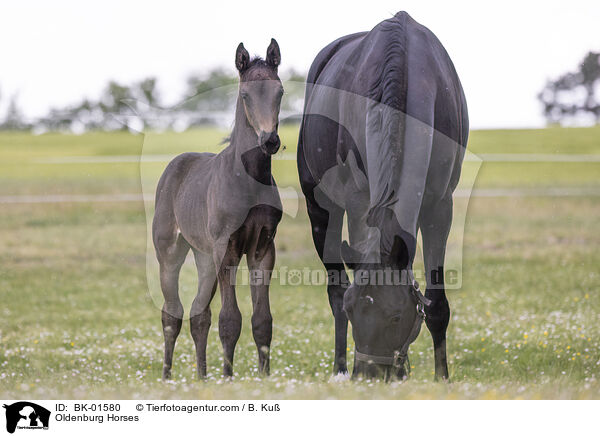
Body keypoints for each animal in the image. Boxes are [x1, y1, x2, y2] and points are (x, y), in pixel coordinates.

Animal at [155, 39, 286, 380]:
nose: (270, 140)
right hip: (170, 252)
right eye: (245, 95)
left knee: (199, 314)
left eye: (280, 91)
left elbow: (261, 320)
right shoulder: (226, 248)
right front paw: (228, 378)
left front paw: (265, 377)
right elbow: (230, 320)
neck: (248, 179)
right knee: (171, 313)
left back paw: (201, 377)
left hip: (203, 257)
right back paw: (167, 377)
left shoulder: (263, 249)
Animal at [300, 9, 468, 378]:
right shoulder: (358, 201)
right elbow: (345, 287)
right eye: (354, 312)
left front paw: (442, 378)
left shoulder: (439, 206)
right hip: (319, 209)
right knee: (334, 287)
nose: (369, 376)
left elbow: (437, 304)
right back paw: (339, 369)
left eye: (395, 316)